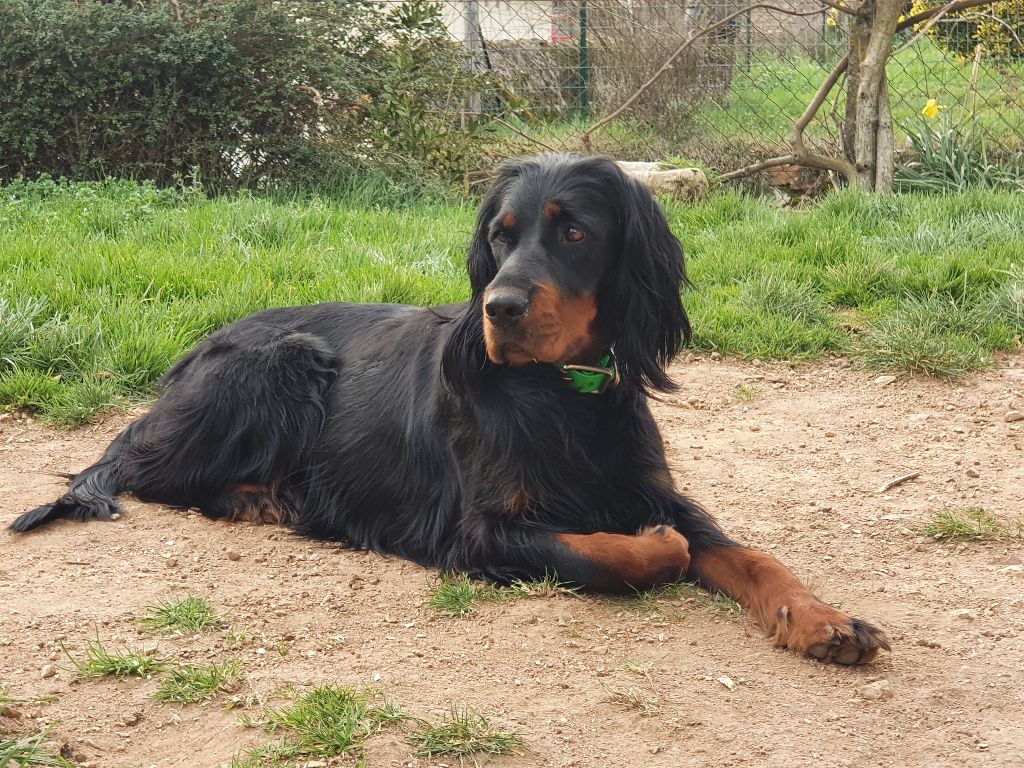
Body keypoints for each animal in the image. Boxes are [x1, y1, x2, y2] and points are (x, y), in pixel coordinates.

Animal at [10, 154, 889, 665]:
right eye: (500, 235)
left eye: (574, 231)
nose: (500, 308)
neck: (558, 391)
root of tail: (195, 352)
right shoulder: (477, 530)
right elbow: (608, 553)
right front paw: (659, 550)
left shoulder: (648, 485)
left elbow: (750, 555)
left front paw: (824, 620)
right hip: (280, 361)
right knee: (145, 469)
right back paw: (262, 496)